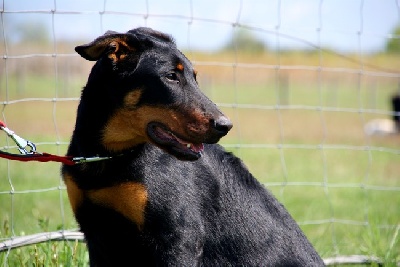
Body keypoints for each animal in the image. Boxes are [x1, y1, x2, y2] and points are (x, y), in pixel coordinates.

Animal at [62, 27, 324, 267]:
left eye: (195, 77)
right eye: (171, 76)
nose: (225, 125)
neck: (107, 156)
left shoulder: (178, 237)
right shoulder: (97, 235)